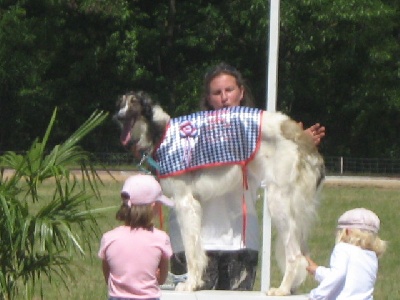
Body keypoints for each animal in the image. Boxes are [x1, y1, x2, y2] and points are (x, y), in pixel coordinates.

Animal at [113, 89, 324, 296]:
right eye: (121, 102)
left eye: (134, 102)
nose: (118, 116)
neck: (161, 133)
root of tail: (299, 135)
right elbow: (199, 250)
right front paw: (197, 282)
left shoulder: (185, 202)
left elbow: (191, 251)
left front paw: (190, 284)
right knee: (302, 254)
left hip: (278, 201)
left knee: (295, 255)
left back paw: (282, 289)